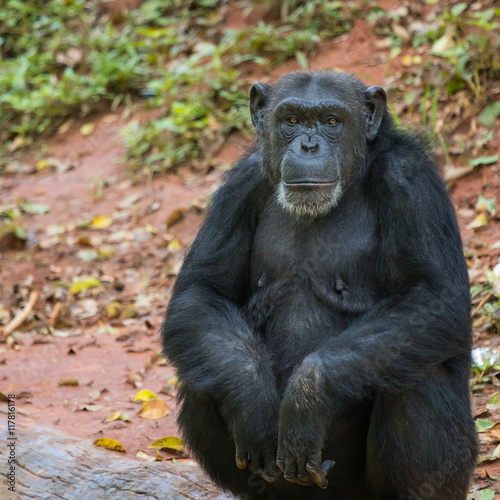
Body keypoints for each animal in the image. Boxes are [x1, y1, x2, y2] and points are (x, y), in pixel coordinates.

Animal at [162, 71, 478, 500]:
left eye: (331, 121)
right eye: (292, 120)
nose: (309, 145)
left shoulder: (411, 182)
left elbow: (433, 297)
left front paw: (306, 398)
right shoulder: (238, 187)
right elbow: (201, 292)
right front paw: (251, 397)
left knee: (416, 375)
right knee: (203, 372)